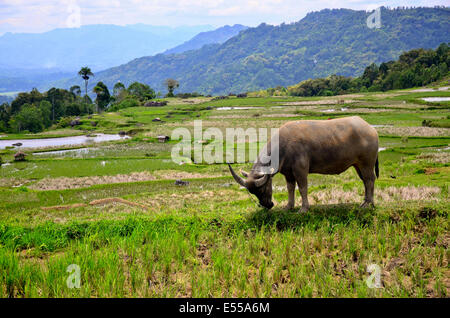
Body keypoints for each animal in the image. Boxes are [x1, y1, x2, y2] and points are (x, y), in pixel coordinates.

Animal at [229, 115, 380, 212]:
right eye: (252, 192)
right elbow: (290, 188)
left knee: (370, 179)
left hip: (367, 163)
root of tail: (371, 129)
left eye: (262, 189)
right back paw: (366, 201)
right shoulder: (288, 173)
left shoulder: (300, 170)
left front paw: (304, 208)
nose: (267, 205)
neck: (283, 146)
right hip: (358, 165)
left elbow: (302, 188)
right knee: (365, 181)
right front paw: (289, 206)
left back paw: (368, 204)